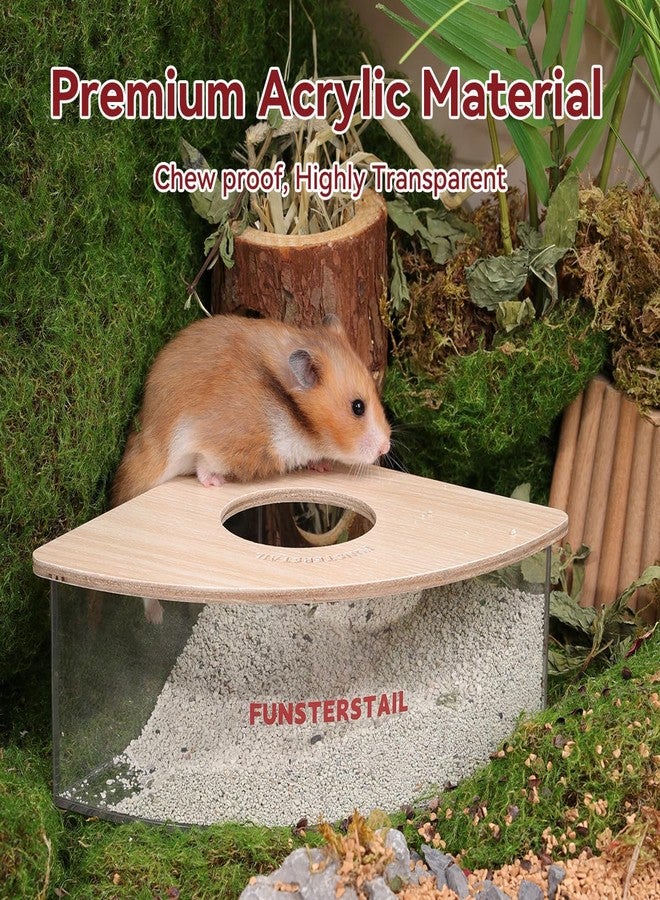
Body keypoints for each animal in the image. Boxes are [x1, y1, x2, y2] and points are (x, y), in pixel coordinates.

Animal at [111, 314, 391, 508]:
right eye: (358, 407)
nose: (386, 447)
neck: (295, 417)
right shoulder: (213, 440)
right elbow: (204, 462)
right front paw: (216, 483)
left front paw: (322, 466)